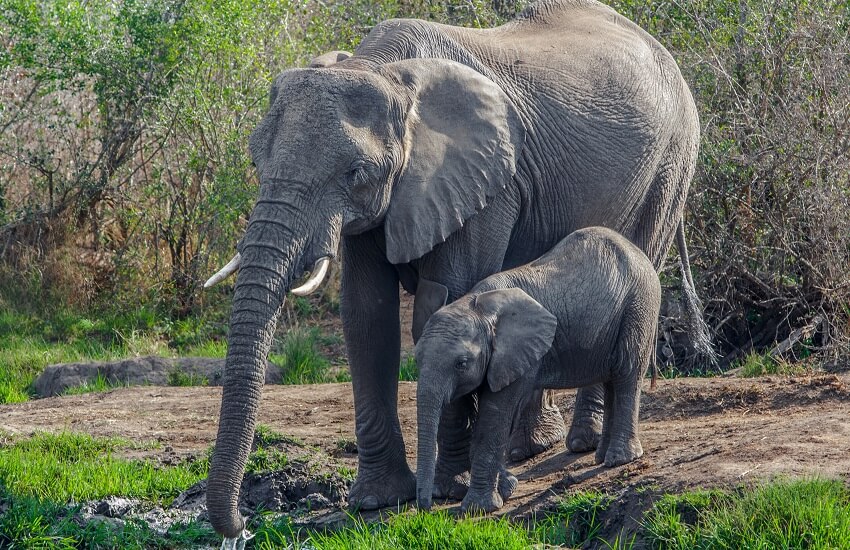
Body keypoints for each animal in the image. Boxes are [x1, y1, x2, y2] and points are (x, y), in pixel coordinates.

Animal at [414, 226, 660, 516]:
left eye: (461, 363)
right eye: (417, 359)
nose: (426, 508)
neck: (476, 306)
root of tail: (639, 253)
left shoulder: (516, 358)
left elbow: (495, 416)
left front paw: (478, 508)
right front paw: (507, 488)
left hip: (638, 307)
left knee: (626, 373)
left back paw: (619, 459)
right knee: (612, 379)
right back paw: (603, 457)